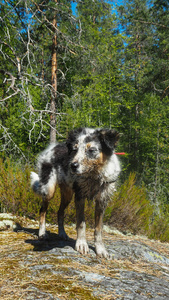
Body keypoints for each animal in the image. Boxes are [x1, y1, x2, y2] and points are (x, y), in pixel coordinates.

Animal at [30, 126, 120, 258]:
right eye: (74, 149)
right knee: (42, 211)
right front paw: (81, 244)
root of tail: (54, 147)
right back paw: (42, 233)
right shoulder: (80, 197)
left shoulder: (102, 201)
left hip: (67, 194)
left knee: (59, 212)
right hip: (49, 190)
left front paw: (100, 249)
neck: (94, 176)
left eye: (91, 150)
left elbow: (98, 228)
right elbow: (81, 223)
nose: (73, 165)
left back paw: (62, 233)